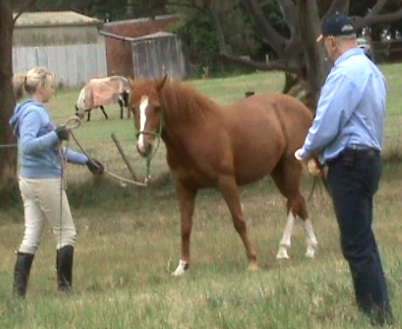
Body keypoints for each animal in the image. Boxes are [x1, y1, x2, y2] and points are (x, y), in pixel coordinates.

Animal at [128, 75, 318, 276]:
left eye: (157, 107)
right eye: (132, 108)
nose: (144, 147)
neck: (196, 132)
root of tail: (302, 107)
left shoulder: (225, 181)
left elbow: (239, 221)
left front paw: (252, 261)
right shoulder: (185, 186)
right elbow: (185, 226)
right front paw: (181, 267)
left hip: (291, 166)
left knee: (293, 203)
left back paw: (283, 249)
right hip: (277, 171)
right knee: (299, 200)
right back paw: (311, 248)